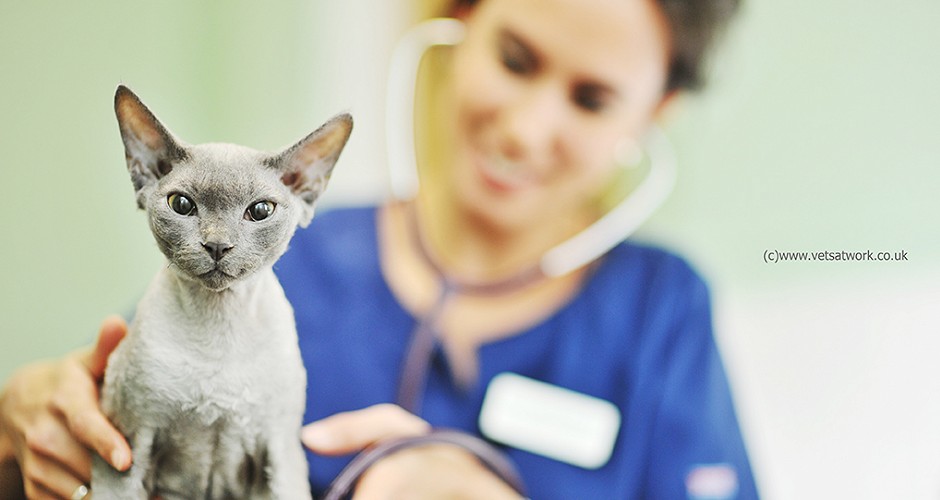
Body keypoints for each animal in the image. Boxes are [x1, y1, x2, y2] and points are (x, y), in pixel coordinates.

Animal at [92, 84, 352, 498]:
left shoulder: (280, 451)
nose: (217, 245)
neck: (220, 329)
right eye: (181, 204)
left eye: (260, 211)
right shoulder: (128, 447)